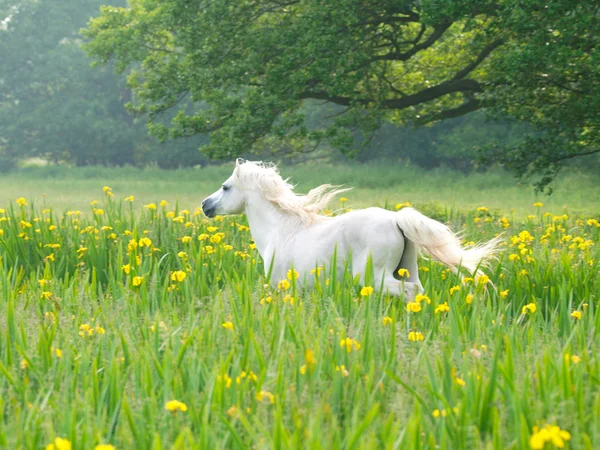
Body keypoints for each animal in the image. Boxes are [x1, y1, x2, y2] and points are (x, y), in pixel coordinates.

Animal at [204, 160, 500, 298]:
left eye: (225, 187)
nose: (205, 205)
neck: (281, 229)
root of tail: (397, 219)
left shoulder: (282, 286)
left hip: (376, 276)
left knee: (408, 292)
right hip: (408, 269)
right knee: (418, 291)